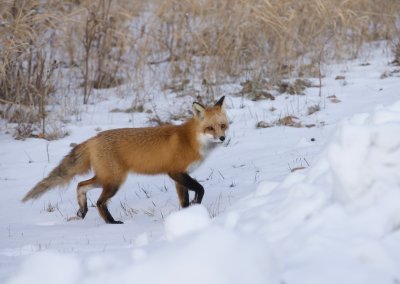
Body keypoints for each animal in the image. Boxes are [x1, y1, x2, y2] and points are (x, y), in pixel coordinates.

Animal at [22, 96, 228, 223]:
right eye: (210, 128)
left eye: (223, 126)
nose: (222, 138)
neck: (192, 140)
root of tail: (94, 138)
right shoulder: (176, 172)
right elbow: (200, 189)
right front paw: (196, 205)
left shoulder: (180, 177)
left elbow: (184, 201)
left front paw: (187, 217)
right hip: (114, 181)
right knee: (99, 201)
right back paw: (112, 222)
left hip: (106, 179)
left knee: (80, 185)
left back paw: (82, 210)